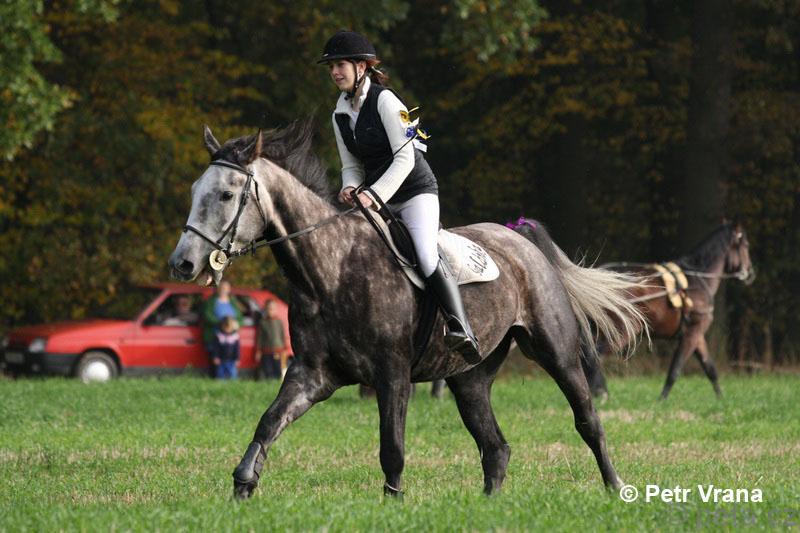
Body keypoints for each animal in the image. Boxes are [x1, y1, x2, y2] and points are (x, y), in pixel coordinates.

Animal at [167, 121, 650, 499]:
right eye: (193, 191)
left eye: (226, 195)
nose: (183, 264)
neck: (330, 269)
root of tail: (519, 238)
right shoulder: (312, 374)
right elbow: (268, 422)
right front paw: (243, 484)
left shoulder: (392, 373)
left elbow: (392, 447)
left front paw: (393, 504)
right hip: (469, 377)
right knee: (495, 446)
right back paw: (489, 505)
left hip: (555, 352)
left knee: (587, 421)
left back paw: (615, 488)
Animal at [557, 223, 754, 401]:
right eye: (745, 245)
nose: (750, 272)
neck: (697, 279)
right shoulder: (692, 332)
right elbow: (676, 368)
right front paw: (662, 399)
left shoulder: (697, 335)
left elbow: (710, 368)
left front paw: (721, 398)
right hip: (622, 331)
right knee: (594, 355)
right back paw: (599, 390)